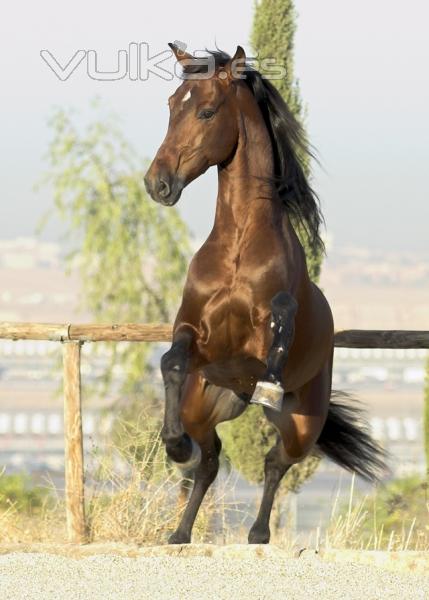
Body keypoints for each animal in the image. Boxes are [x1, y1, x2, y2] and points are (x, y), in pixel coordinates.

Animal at [145, 45, 384, 544]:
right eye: (172, 105)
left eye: (206, 110)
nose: (157, 184)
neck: (237, 245)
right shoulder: (194, 333)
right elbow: (172, 361)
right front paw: (174, 445)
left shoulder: (263, 331)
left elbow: (278, 323)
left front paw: (270, 385)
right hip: (203, 406)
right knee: (210, 460)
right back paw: (180, 532)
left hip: (302, 425)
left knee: (276, 463)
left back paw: (257, 533)